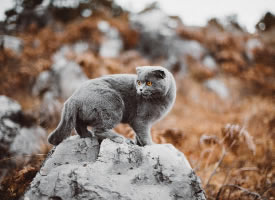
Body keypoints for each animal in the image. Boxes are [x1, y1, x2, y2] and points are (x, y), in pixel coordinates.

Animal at [47, 66, 177, 146]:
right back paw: (117, 137)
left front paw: (138, 143)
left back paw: (86, 135)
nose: (140, 89)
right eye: (139, 82)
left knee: (79, 124)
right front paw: (150, 144)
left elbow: (138, 135)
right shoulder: (141, 120)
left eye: (149, 83)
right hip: (113, 105)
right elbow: (143, 133)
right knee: (98, 129)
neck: (160, 100)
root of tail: (73, 97)